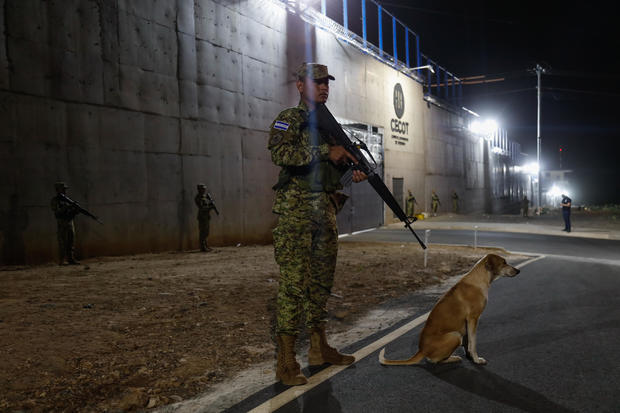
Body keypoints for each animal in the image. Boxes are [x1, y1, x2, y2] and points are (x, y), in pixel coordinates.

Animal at [378, 253, 520, 366]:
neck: (479, 278)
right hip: (455, 335)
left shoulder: (467, 323)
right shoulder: (473, 319)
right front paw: (476, 359)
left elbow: (468, 342)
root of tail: (422, 350)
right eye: (504, 263)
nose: (518, 271)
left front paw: (470, 357)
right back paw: (453, 358)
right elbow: (473, 343)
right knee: (434, 360)